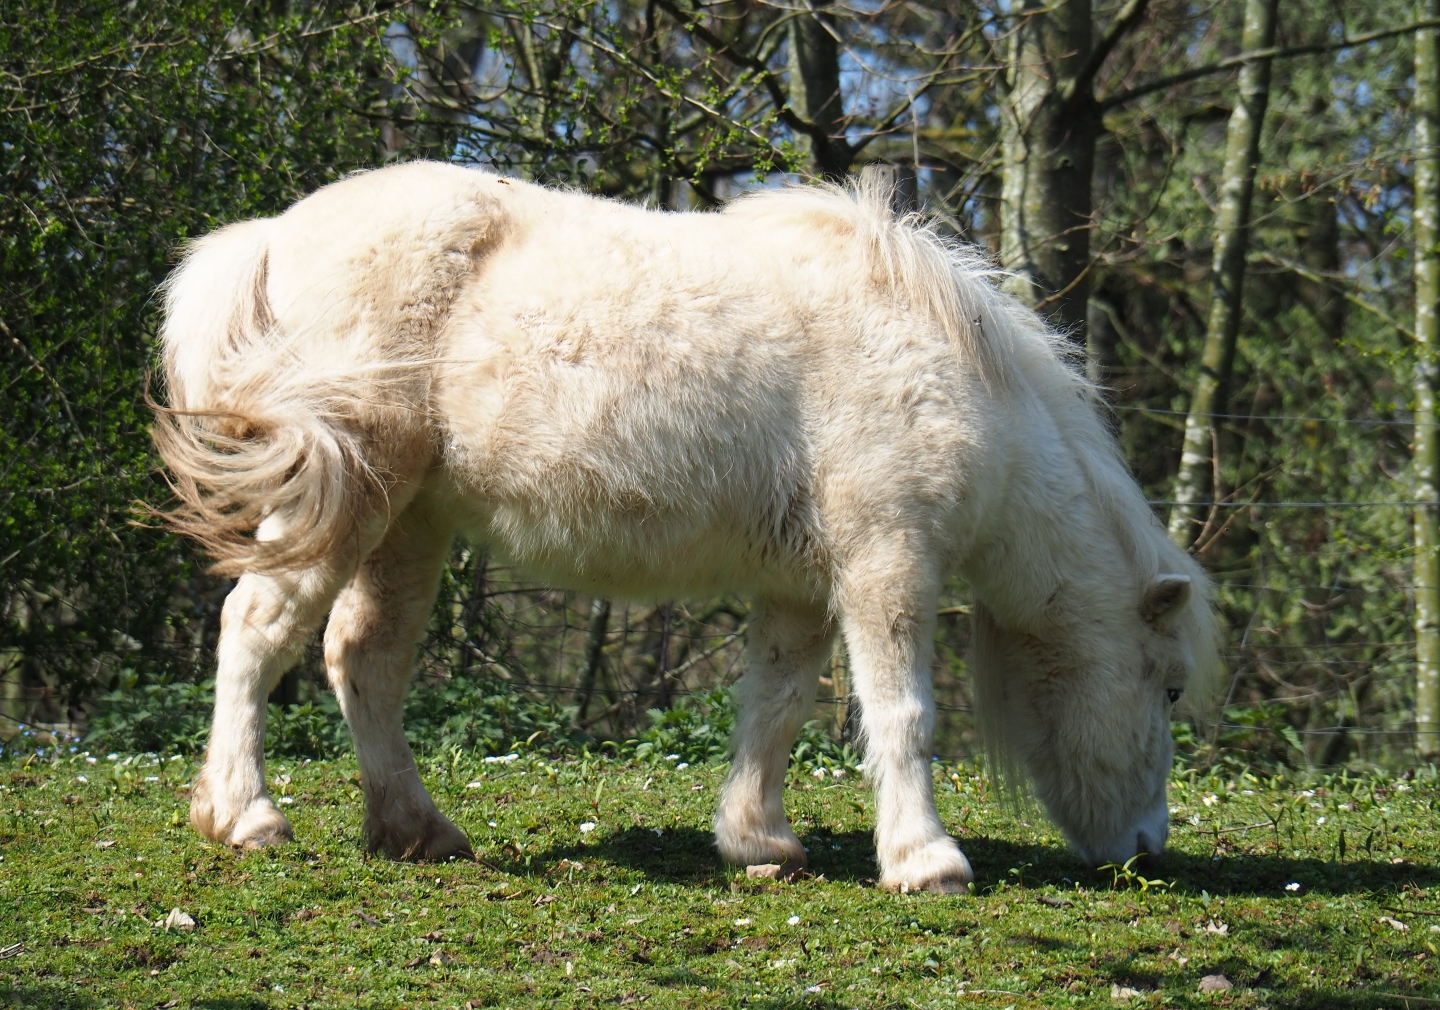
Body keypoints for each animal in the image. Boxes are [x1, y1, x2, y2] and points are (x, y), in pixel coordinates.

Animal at [152, 161, 1220, 893]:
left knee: (362, 659)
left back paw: (417, 831)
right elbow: (901, 713)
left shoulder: (800, 584)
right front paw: (926, 859)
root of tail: (268, 237)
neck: (948, 366)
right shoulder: (888, 562)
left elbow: (776, 706)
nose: (1146, 850)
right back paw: (245, 815)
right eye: (1167, 688)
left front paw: (759, 842)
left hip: (412, 524)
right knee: (259, 629)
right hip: (347, 500)